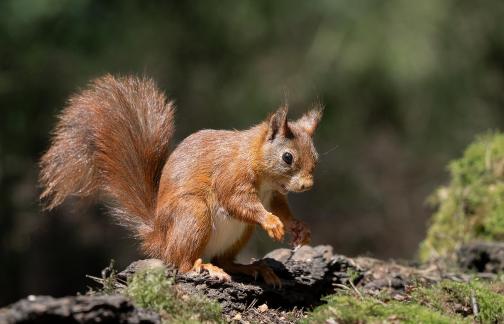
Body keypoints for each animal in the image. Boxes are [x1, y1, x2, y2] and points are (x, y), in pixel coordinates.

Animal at [40, 74, 322, 284]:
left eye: (316, 158)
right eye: (287, 157)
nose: (307, 186)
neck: (255, 161)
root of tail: (160, 238)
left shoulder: (273, 194)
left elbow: (281, 208)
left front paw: (299, 227)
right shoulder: (231, 174)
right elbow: (236, 200)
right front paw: (271, 222)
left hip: (240, 232)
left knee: (224, 260)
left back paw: (252, 268)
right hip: (194, 214)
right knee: (182, 262)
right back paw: (203, 267)